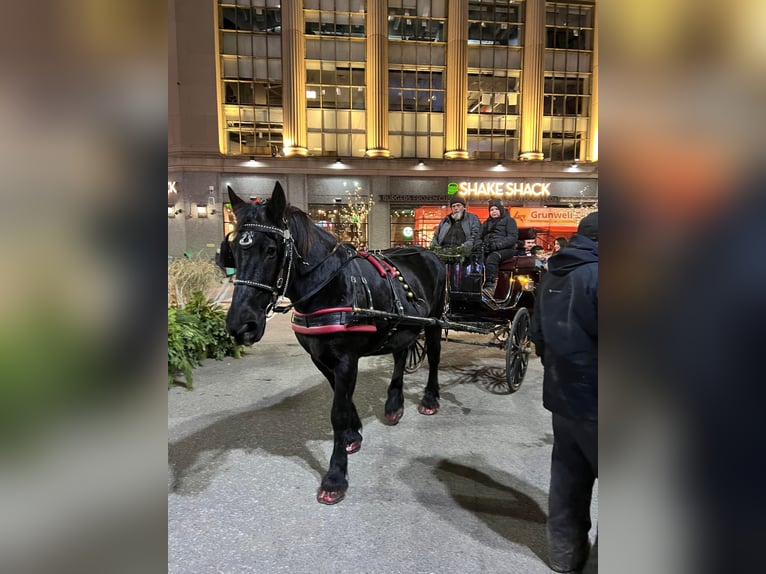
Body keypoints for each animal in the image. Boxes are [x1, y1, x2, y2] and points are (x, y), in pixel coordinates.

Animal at [225, 182, 448, 506]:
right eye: (232, 252)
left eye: (270, 250)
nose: (241, 325)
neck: (330, 285)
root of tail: (427, 252)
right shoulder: (320, 357)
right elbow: (340, 399)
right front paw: (352, 436)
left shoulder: (346, 359)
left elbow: (337, 412)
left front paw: (335, 476)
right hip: (402, 324)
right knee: (400, 354)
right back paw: (394, 404)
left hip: (433, 323)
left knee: (433, 357)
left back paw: (430, 399)